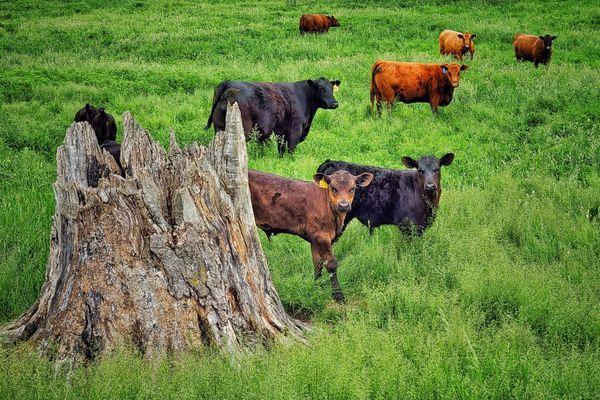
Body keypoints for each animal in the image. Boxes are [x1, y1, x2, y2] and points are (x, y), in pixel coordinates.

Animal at [204, 78, 340, 155]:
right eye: (321, 89)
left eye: (332, 88)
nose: (334, 103)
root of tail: (230, 82)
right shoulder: (295, 131)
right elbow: (291, 151)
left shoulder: (281, 133)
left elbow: (281, 150)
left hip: (219, 126)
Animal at [247, 167, 370, 302]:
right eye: (333, 187)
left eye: (352, 188)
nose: (343, 205)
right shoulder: (321, 236)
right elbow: (331, 264)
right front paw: (339, 296)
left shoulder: (315, 239)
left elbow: (317, 263)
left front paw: (316, 286)